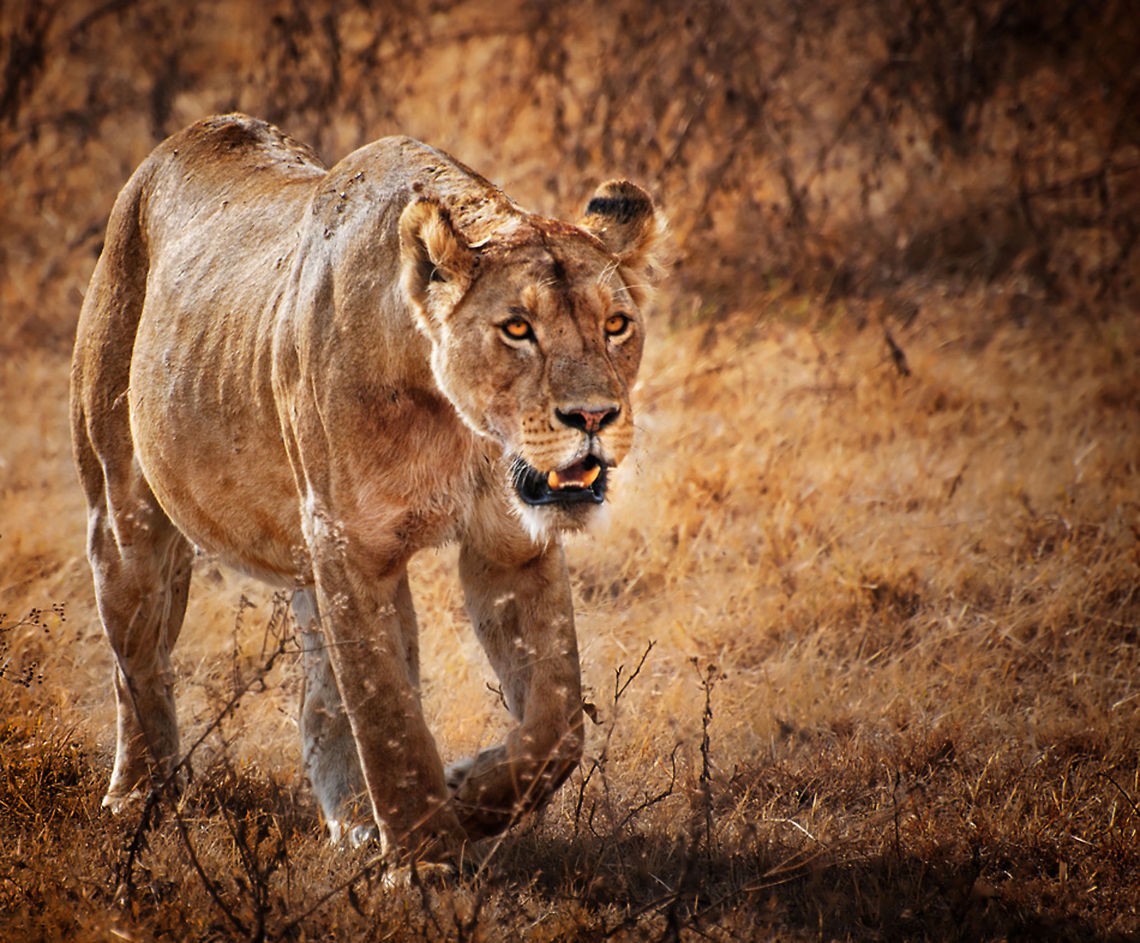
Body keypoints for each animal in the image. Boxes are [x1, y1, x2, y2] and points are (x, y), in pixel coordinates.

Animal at [70, 114, 661, 863]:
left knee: (320, 693)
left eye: (615, 324)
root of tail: (191, 134)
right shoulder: (350, 546)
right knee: (138, 663)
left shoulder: (510, 548)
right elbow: (388, 715)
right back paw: (140, 797)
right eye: (516, 329)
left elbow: (555, 722)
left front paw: (468, 796)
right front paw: (428, 859)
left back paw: (352, 823)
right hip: (125, 515)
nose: (593, 417)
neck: (458, 427)